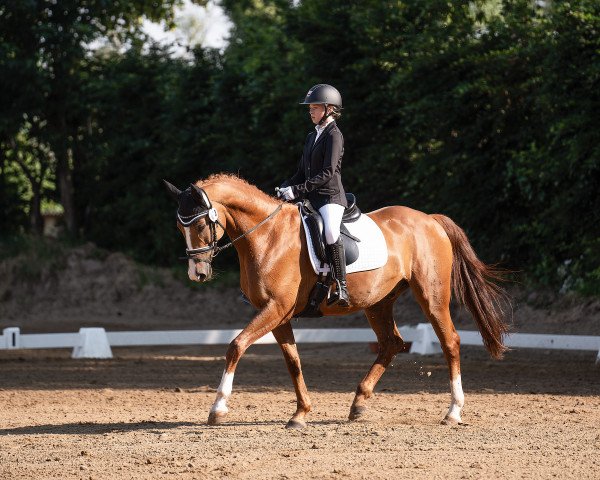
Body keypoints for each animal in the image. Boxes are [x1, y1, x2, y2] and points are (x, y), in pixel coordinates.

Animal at [162, 174, 508, 430]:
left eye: (200, 224)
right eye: (179, 226)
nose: (198, 273)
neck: (267, 236)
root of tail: (430, 220)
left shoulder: (275, 309)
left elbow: (235, 346)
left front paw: (218, 407)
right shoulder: (278, 314)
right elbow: (293, 361)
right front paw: (300, 414)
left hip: (431, 297)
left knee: (450, 341)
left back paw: (453, 412)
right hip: (377, 303)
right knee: (392, 343)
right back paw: (358, 404)